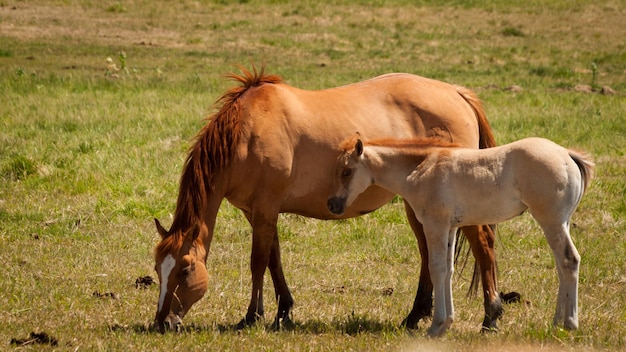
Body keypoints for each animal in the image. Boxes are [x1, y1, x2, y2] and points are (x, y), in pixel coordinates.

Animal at [150, 66, 498, 332]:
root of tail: (456, 93)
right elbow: (274, 259)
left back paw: (491, 316)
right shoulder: (258, 212)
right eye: (157, 269)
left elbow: (258, 262)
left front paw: (252, 316)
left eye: (185, 270)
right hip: (418, 204)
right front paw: (283, 312)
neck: (247, 132)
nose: (162, 323)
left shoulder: (265, 209)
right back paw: (415, 316)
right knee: (428, 253)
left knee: (482, 244)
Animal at [324, 136, 592, 336]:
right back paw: (556, 322)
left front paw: (436, 327)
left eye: (347, 171)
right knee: (562, 265)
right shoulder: (451, 228)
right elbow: (449, 271)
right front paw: (446, 324)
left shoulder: (435, 225)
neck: (421, 167)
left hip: (551, 221)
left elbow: (437, 269)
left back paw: (569, 324)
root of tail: (567, 155)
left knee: (570, 260)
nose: (332, 204)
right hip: (560, 223)